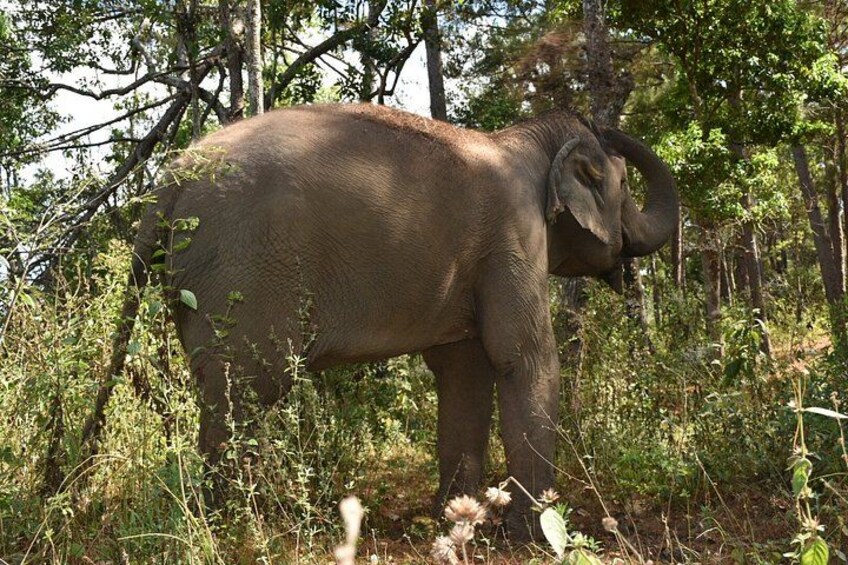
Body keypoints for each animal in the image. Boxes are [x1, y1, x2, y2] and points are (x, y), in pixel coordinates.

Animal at [131, 103, 678, 539]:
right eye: (623, 184)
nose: (604, 124)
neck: (525, 139)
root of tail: (171, 178)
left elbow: (464, 372)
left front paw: (457, 520)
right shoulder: (515, 236)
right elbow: (522, 358)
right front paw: (537, 534)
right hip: (245, 273)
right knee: (242, 388)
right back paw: (234, 528)